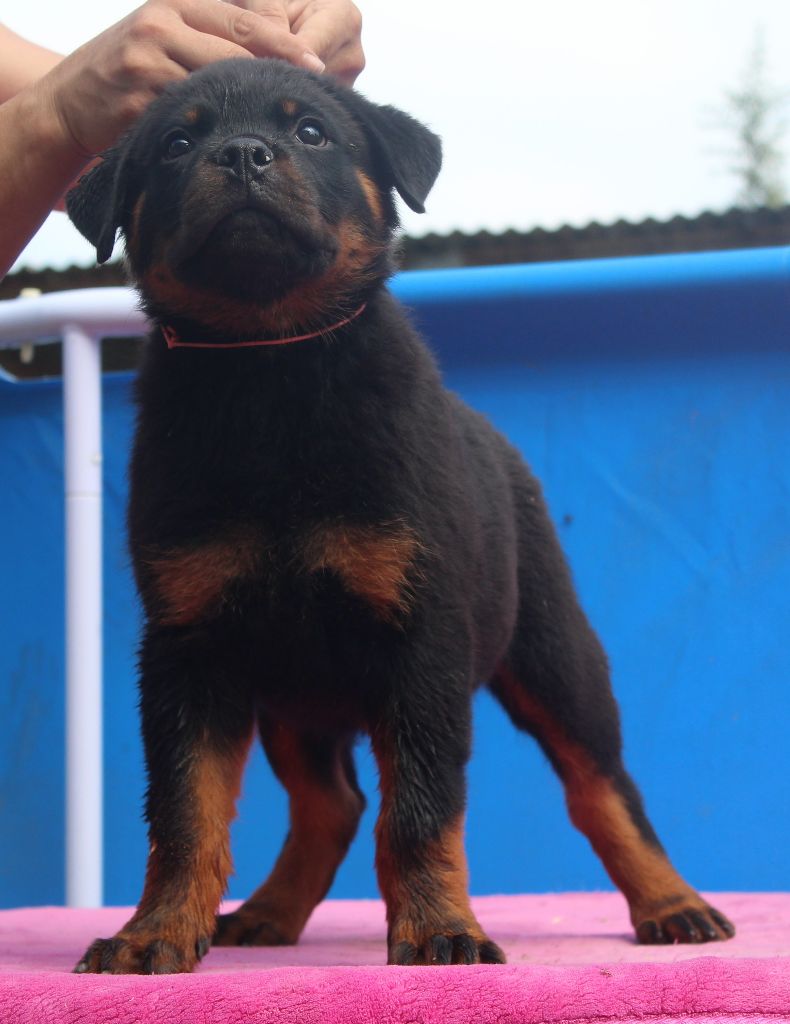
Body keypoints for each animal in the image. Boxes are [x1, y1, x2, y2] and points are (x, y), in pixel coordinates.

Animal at [66, 58, 734, 974]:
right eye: (175, 144)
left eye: (310, 131)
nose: (242, 154)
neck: (270, 369)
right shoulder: (188, 644)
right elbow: (184, 809)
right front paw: (156, 930)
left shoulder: (421, 638)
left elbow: (420, 808)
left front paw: (439, 930)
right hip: (293, 692)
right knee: (332, 802)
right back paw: (267, 911)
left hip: (555, 654)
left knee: (602, 784)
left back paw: (673, 903)